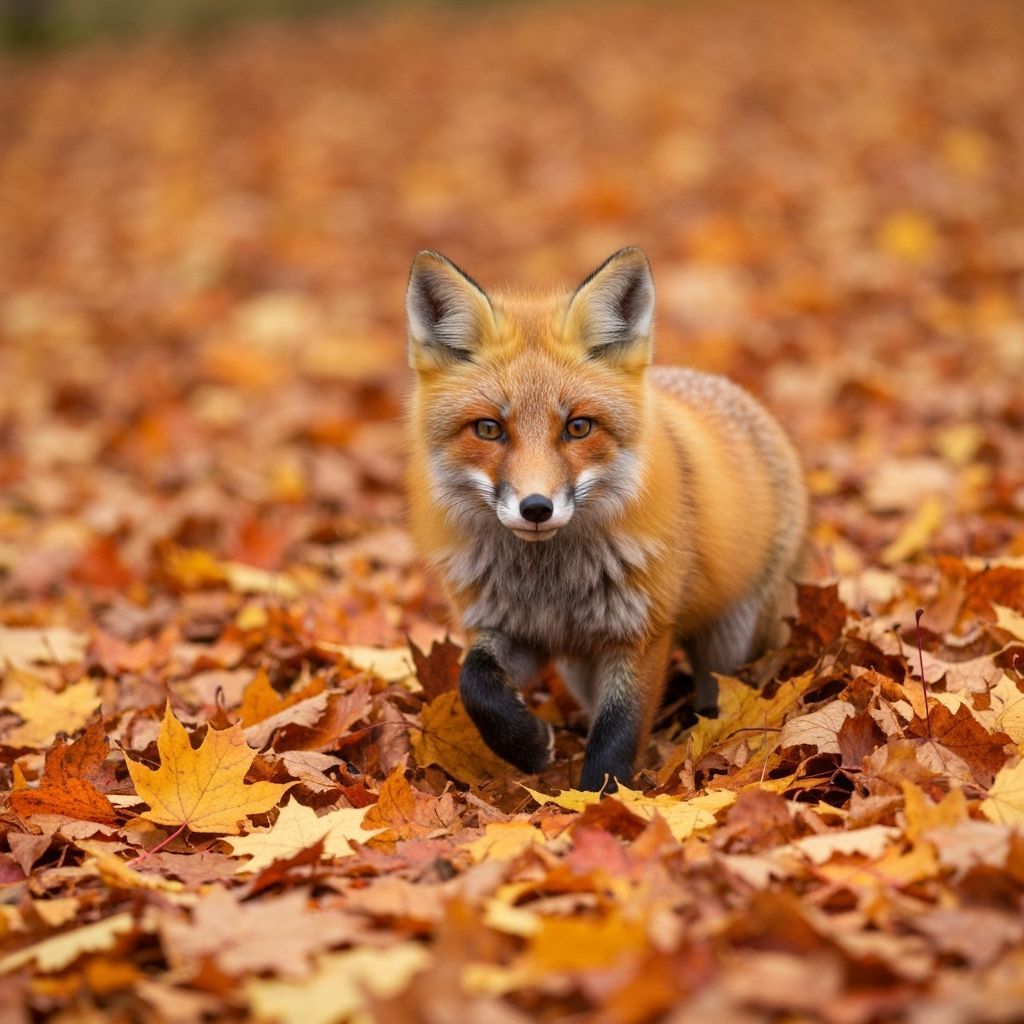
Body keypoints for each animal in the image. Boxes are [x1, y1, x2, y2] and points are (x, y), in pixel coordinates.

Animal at [405, 247, 808, 792]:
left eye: (578, 427)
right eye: (488, 429)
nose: (536, 507)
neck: (550, 583)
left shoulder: (641, 628)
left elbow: (619, 727)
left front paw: (601, 798)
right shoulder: (514, 627)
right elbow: (475, 683)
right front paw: (527, 745)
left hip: (731, 638)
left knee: (718, 693)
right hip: (580, 664)